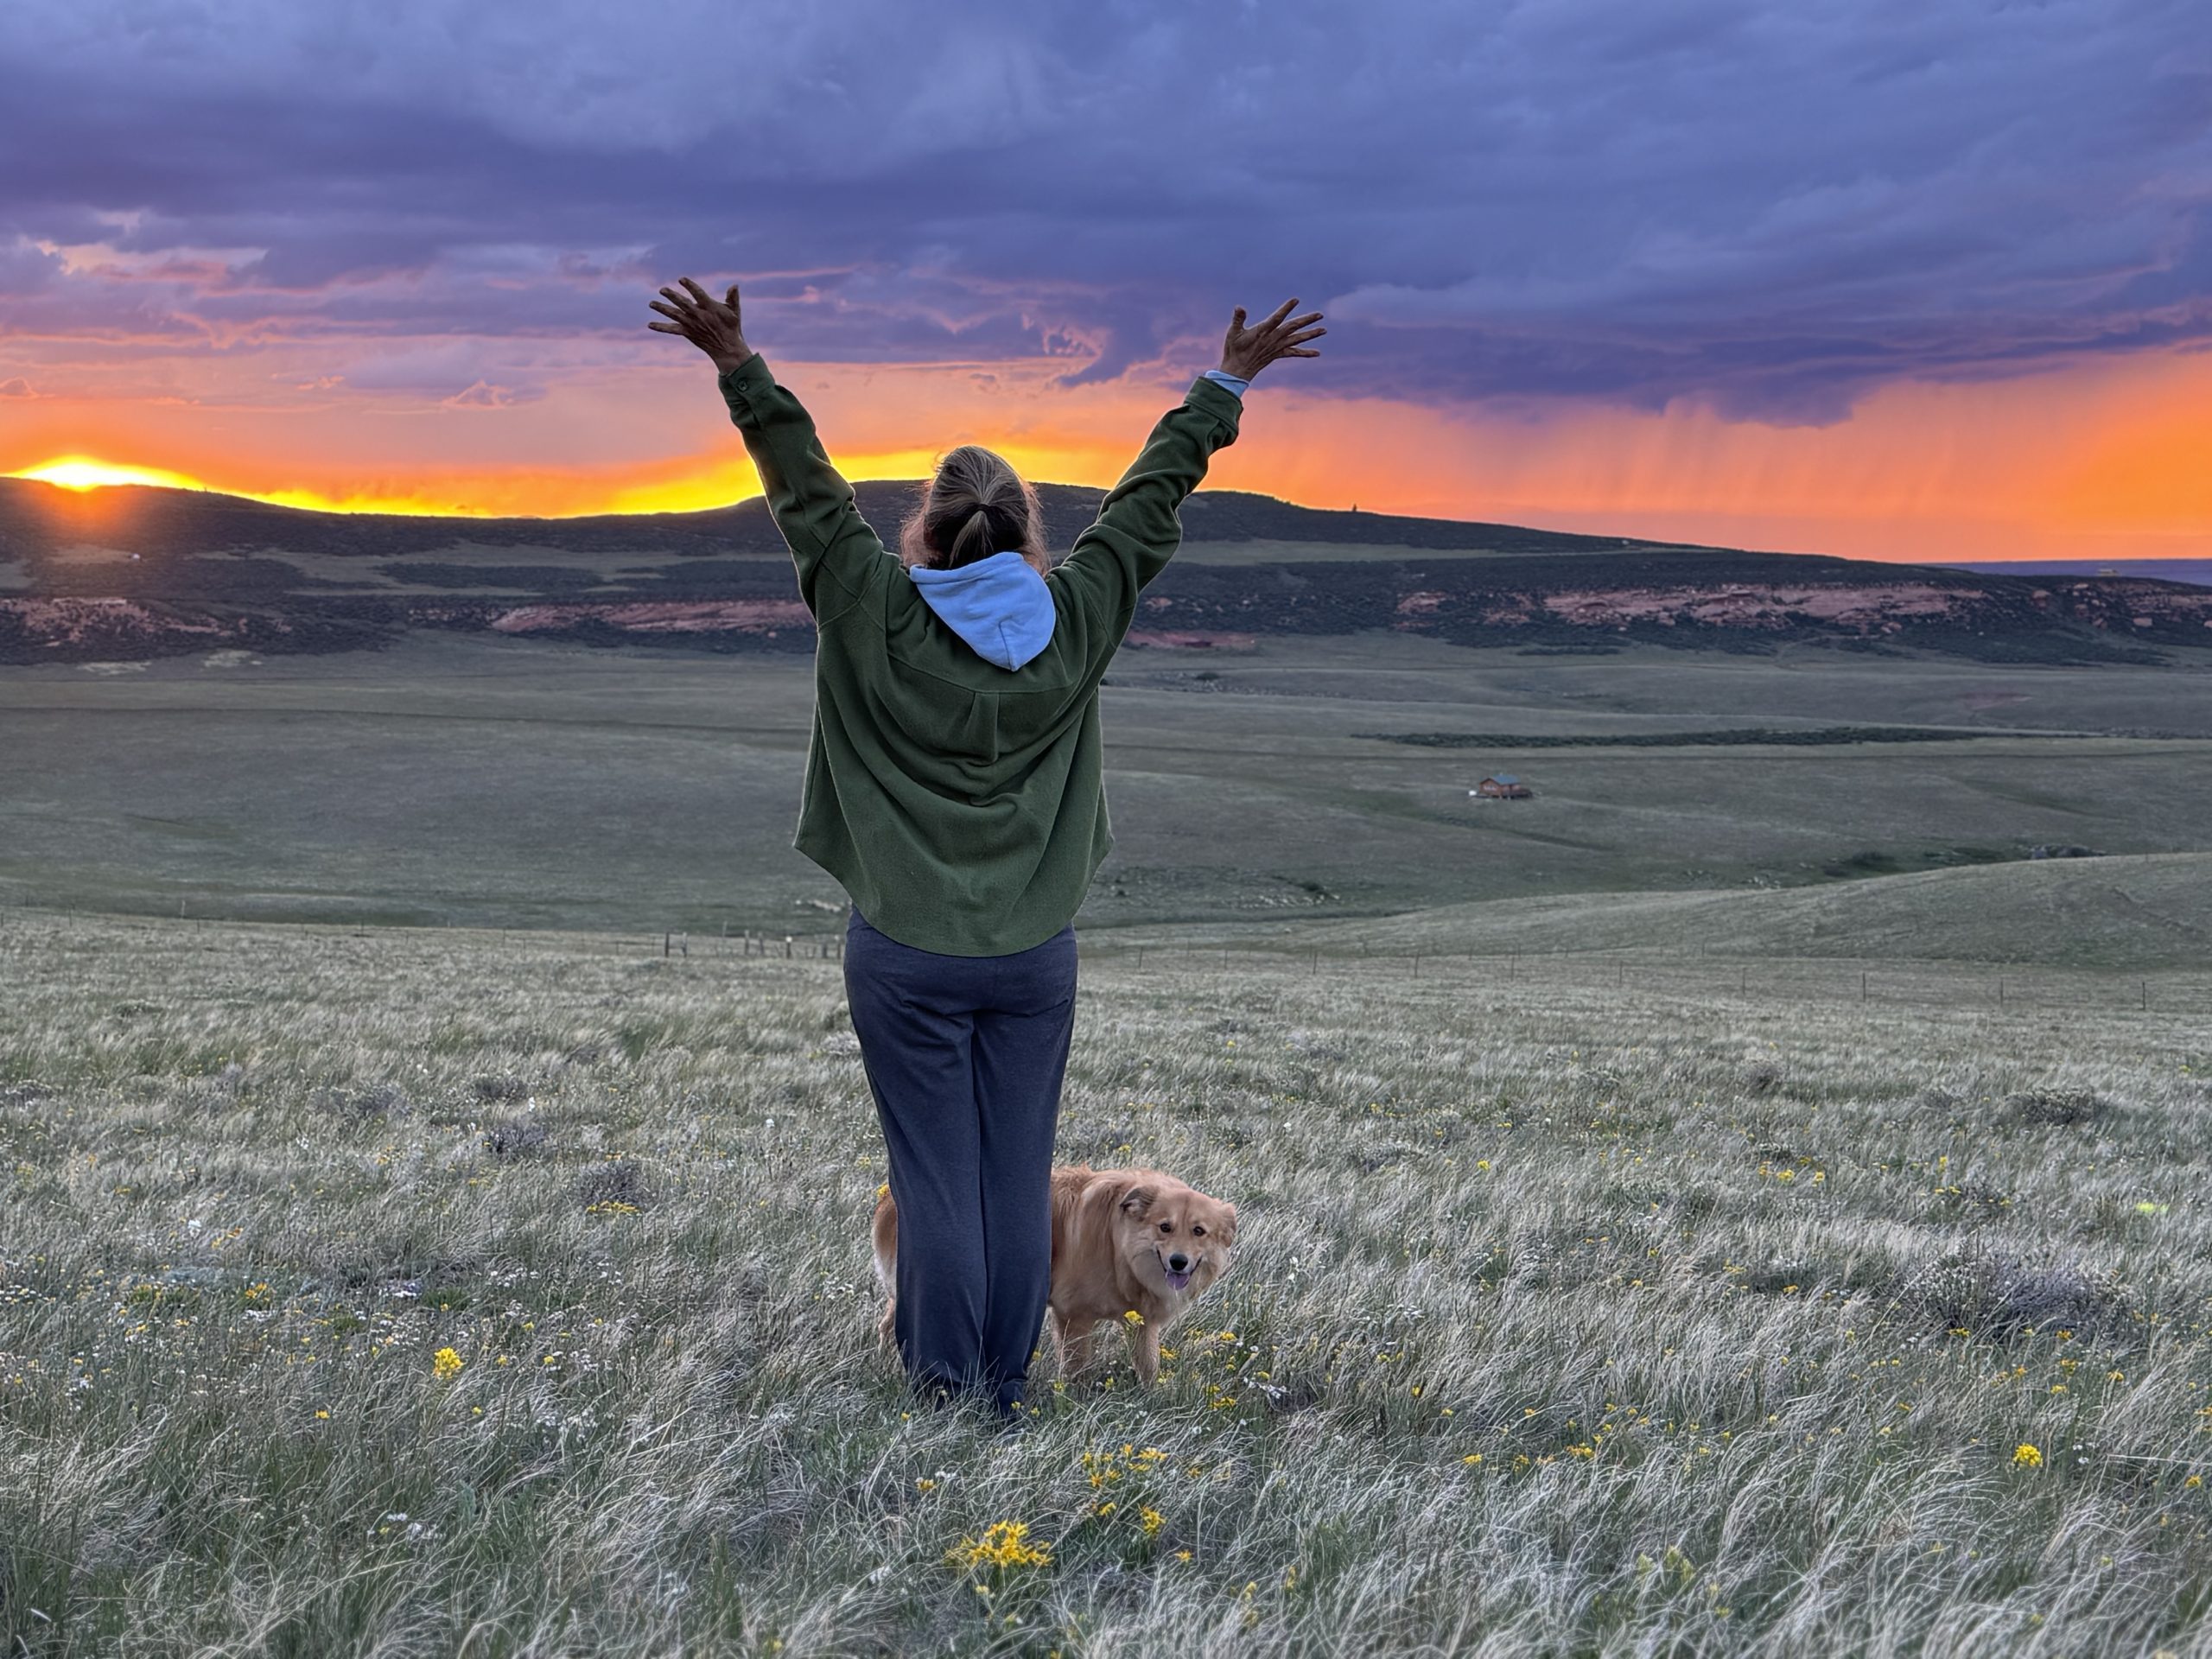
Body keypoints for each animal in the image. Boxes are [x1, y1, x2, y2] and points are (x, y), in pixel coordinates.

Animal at [867, 1167, 1247, 1389]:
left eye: (1199, 1231)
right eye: (1164, 1227)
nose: (1179, 1262)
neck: (1117, 1245)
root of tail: (891, 1199)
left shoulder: (1143, 1322)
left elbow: (1149, 1364)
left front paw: (1151, 1396)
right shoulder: (1073, 1315)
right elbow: (1076, 1367)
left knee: (886, 1325)